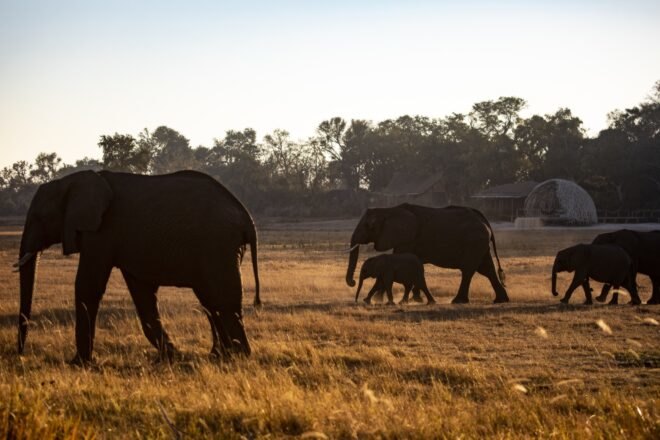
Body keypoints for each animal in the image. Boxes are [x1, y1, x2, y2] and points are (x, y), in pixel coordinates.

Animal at [14, 170, 260, 364]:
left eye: (39, 217)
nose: (20, 354)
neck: (72, 181)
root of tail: (247, 218)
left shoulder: (102, 231)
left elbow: (88, 286)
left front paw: (79, 363)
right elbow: (142, 294)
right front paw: (171, 356)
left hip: (219, 244)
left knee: (223, 299)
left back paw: (239, 355)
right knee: (211, 300)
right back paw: (221, 355)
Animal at [345, 204, 508, 304]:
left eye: (369, 226)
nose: (352, 282)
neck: (388, 210)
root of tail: (483, 218)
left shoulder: (407, 238)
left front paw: (379, 300)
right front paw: (415, 300)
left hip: (473, 241)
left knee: (469, 270)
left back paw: (458, 301)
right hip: (479, 243)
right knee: (487, 269)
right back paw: (501, 300)